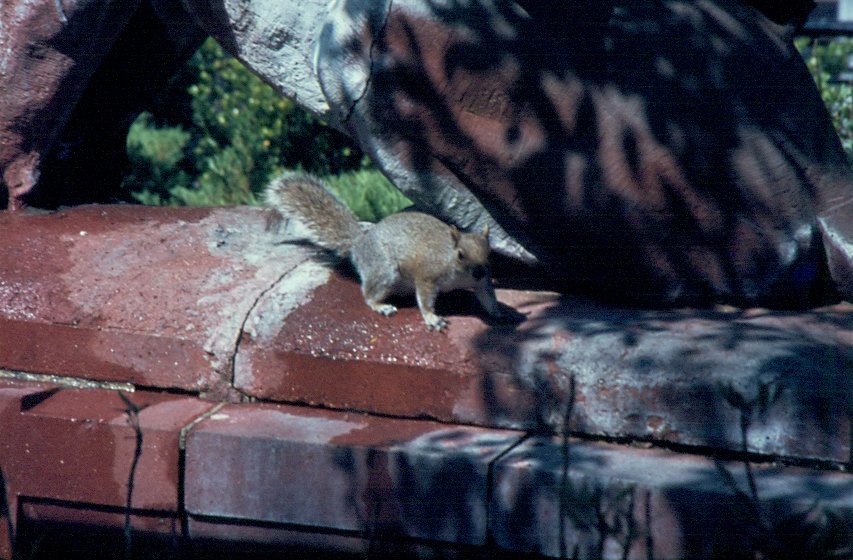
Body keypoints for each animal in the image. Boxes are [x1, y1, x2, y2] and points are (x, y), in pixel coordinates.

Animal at [262, 173, 510, 330]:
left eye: (489, 254)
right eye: (460, 254)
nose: (479, 272)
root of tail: (359, 244)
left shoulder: (483, 282)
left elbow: (487, 296)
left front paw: (498, 313)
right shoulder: (428, 275)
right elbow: (425, 299)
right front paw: (432, 318)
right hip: (385, 271)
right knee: (368, 294)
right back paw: (380, 306)